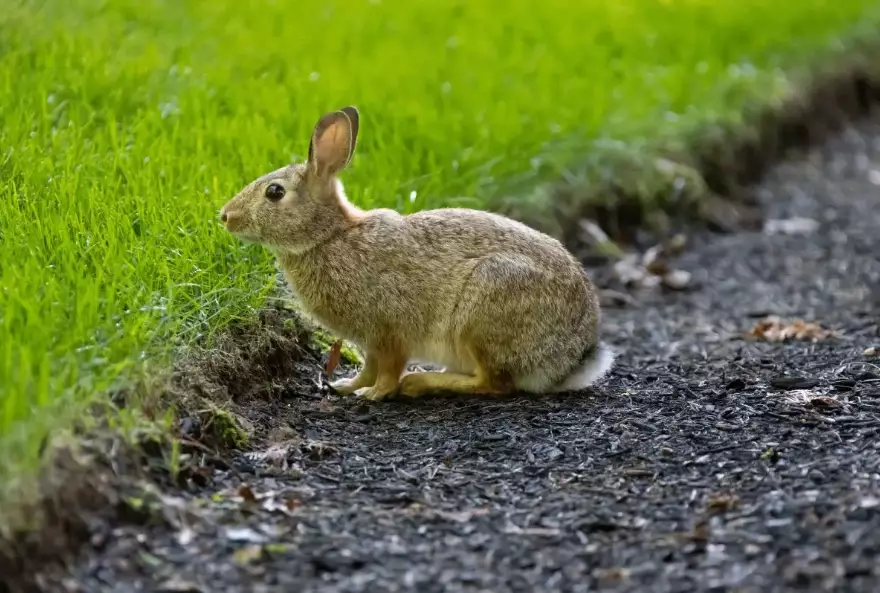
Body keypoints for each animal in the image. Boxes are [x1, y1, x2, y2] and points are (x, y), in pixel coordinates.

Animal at [219, 106, 615, 401]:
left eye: (274, 192)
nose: (225, 216)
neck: (328, 236)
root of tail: (571, 359)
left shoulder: (389, 330)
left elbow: (388, 368)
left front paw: (374, 394)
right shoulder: (369, 341)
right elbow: (369, 367)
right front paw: (347, 386)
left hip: (485, 303)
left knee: (494, 384)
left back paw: (421, 383)